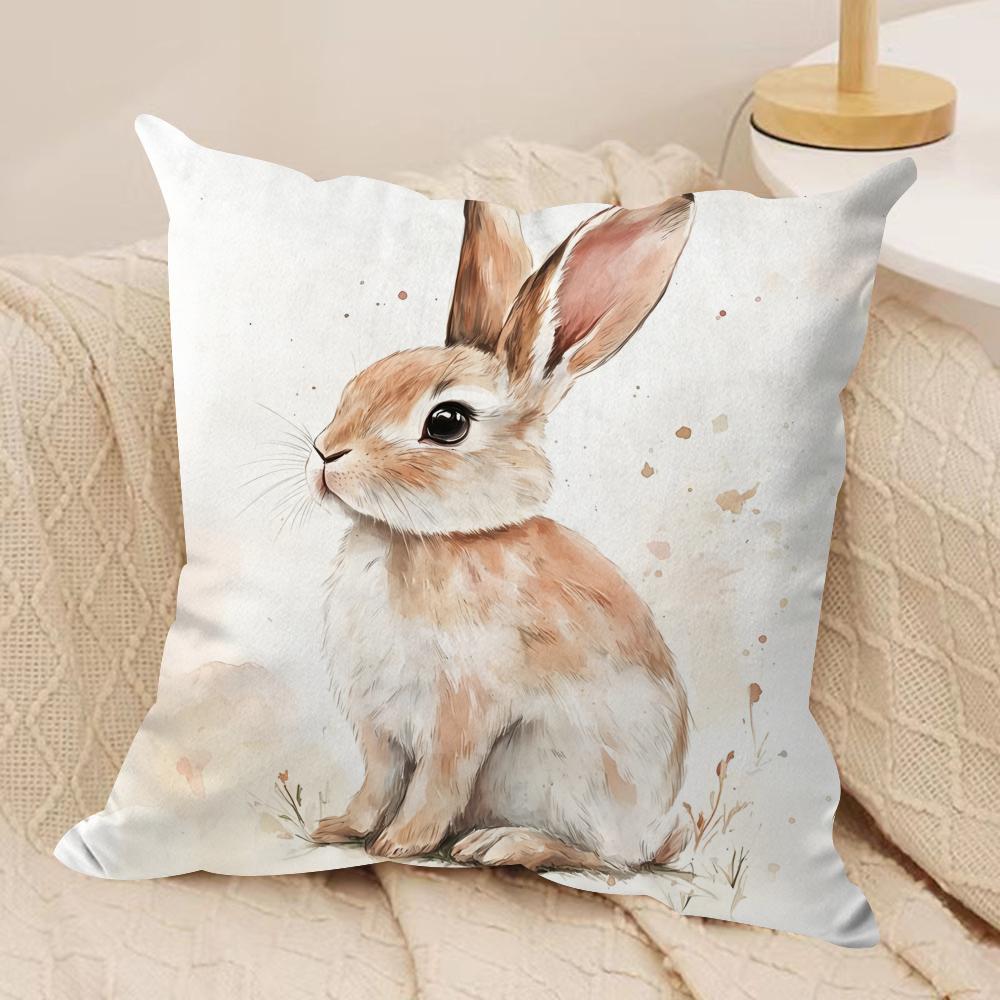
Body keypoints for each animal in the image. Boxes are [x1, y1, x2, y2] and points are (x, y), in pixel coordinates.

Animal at [308, 194, 695, 873]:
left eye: (447, 422)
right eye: (355, 386)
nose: (326, 452)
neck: (425, 540)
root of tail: (660, 832)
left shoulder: (463, 712)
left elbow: (437, 782)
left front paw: (399, 844)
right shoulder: (376, 727)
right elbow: (376, 781)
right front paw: (341, 828)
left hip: (564, 775)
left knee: (604, 859)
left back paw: (501, 844)